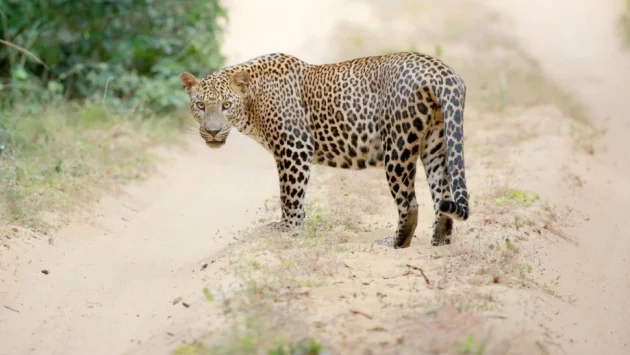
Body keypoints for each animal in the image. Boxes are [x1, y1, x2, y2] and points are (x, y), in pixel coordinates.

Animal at [180, 51, 472, 249]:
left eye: (226, 105)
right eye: (201, 106)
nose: (213, 131)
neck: (251, 100)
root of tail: (440, 70)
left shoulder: (293, 148)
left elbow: (290, 196)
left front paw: (287, 230)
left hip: (398, 147)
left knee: (409, 203)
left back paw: (395, 243)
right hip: (436, 145)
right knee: (442, 195)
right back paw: (439, 242)